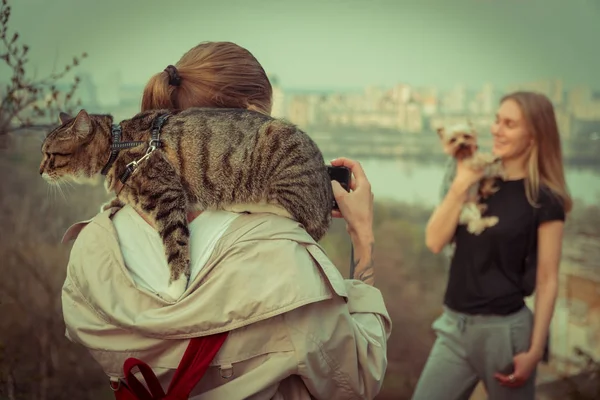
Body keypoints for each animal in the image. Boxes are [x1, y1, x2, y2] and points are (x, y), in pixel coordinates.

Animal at [39, 108, 336, 302]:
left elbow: (176, 243)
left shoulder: (167, 195)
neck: (118, 145)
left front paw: (175, 286)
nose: (39, 171)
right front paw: (111, 202)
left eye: (50, 155)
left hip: (284, 171)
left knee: (298, 212)